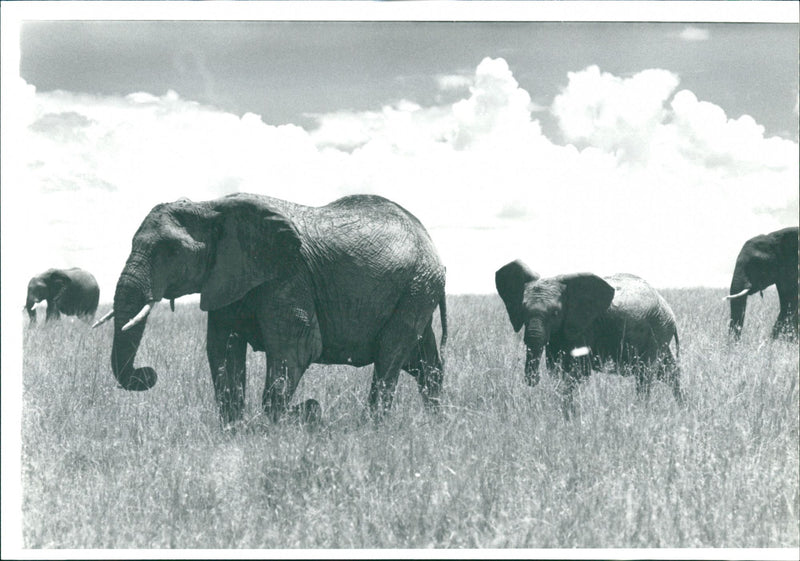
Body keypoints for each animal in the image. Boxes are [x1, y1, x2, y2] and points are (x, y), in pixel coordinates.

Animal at [95, 193, 447, 425]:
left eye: (169, 250)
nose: (147, 374)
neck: (210, 205)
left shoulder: (288, 275)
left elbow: (297, 348)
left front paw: (277, 428)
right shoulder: (227, 278)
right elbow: (222, 350)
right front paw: (234, 432)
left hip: (417, 286)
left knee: (391, 354)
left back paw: (372, 428)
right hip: (418, 289)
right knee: (424, 363)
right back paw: (438, 424)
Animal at [495, 260, 682, 419]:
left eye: (555, 313)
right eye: (523, 311)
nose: (532, 380)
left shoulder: (584, 326)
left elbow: (578, 372)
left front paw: (570, 419)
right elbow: (555, 370)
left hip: (657, 330)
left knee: (646, 374)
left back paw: (641, 413)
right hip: (660, 331)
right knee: (669, 372)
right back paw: (684, 409)